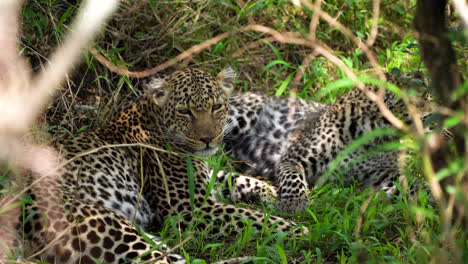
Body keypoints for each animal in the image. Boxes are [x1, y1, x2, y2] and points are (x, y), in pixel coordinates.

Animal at [13, 68, 308, 264]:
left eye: (216, 106)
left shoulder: (205, 179)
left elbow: (231, 177)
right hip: (107, 226)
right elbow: (252, 217)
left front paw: (270, 192)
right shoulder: (191, 209)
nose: (208, 138)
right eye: (184, 111)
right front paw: (300, 230)